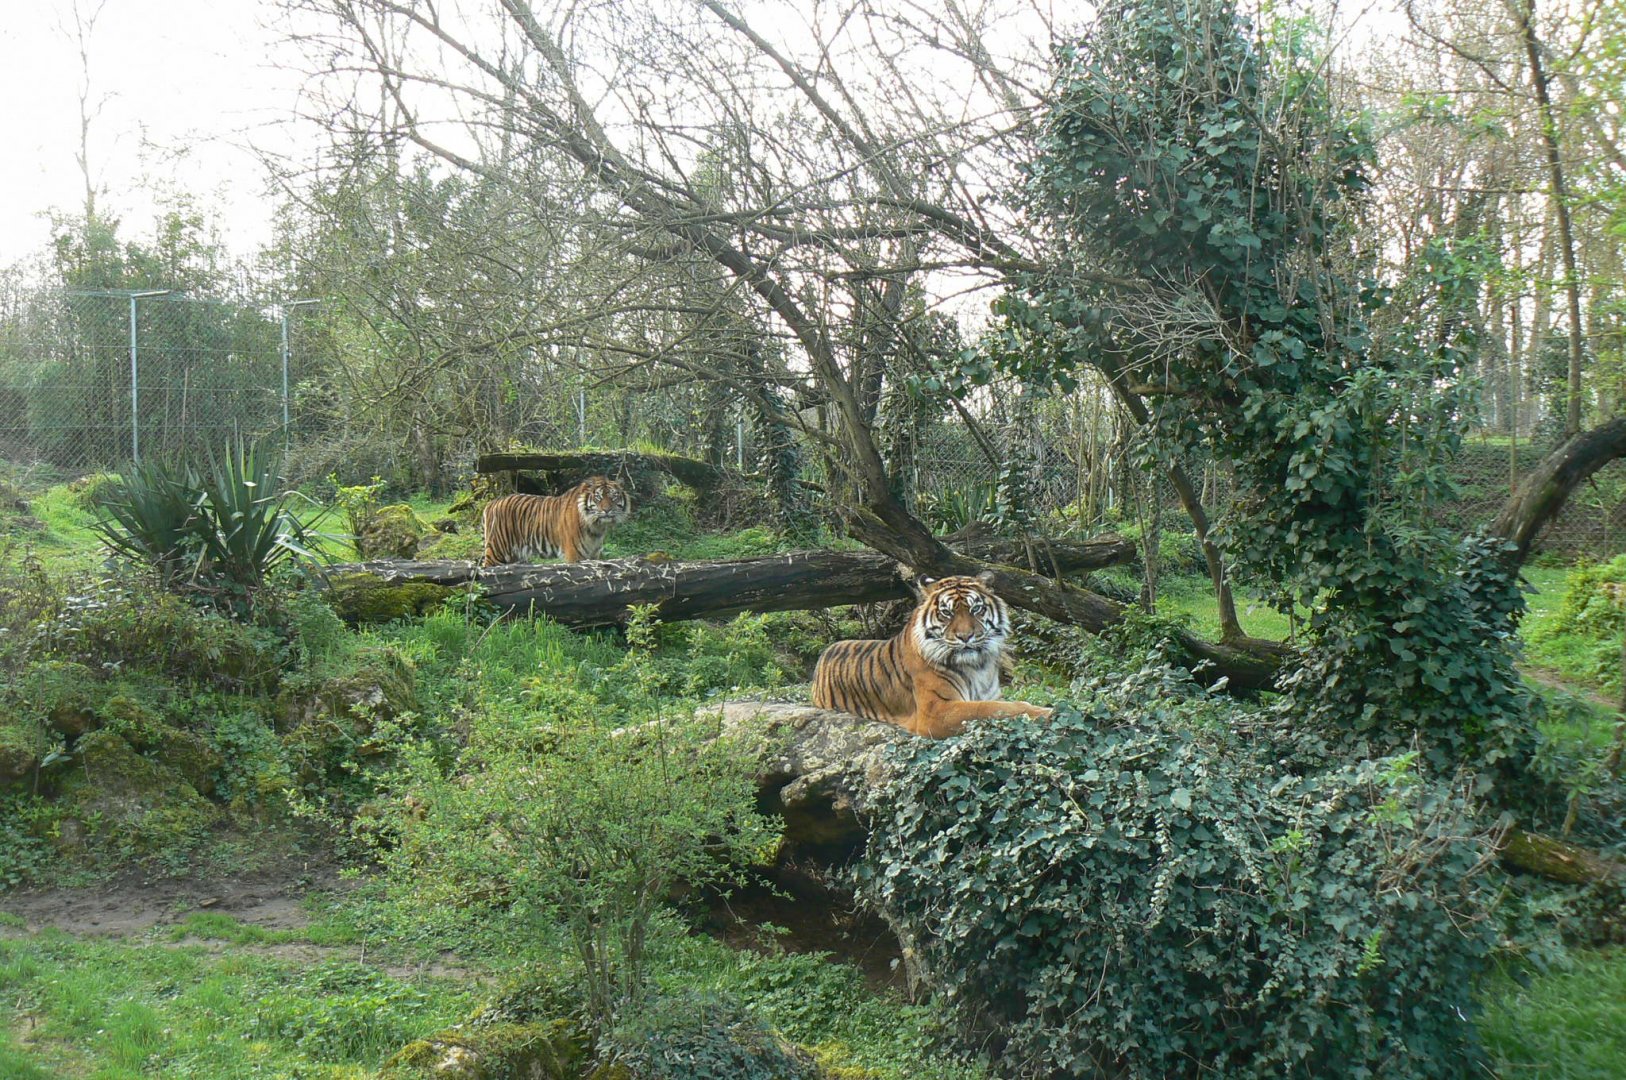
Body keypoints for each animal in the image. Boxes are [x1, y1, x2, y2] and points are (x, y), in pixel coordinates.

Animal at [480, 475, 631, 566]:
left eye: (614, 497)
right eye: (598, 497)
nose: (607, 510)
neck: (596, 527)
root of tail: (492, 503)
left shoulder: (594, 555)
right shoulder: (574, 555)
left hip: (514, 555)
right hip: (496, 552)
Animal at [811, 571, 1052, 738]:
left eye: (976, 609)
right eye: (947, 613)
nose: (966, 637)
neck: (978, 666)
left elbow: (998, 705)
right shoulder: (936, 710)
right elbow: (990, 709)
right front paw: (1046, 711)